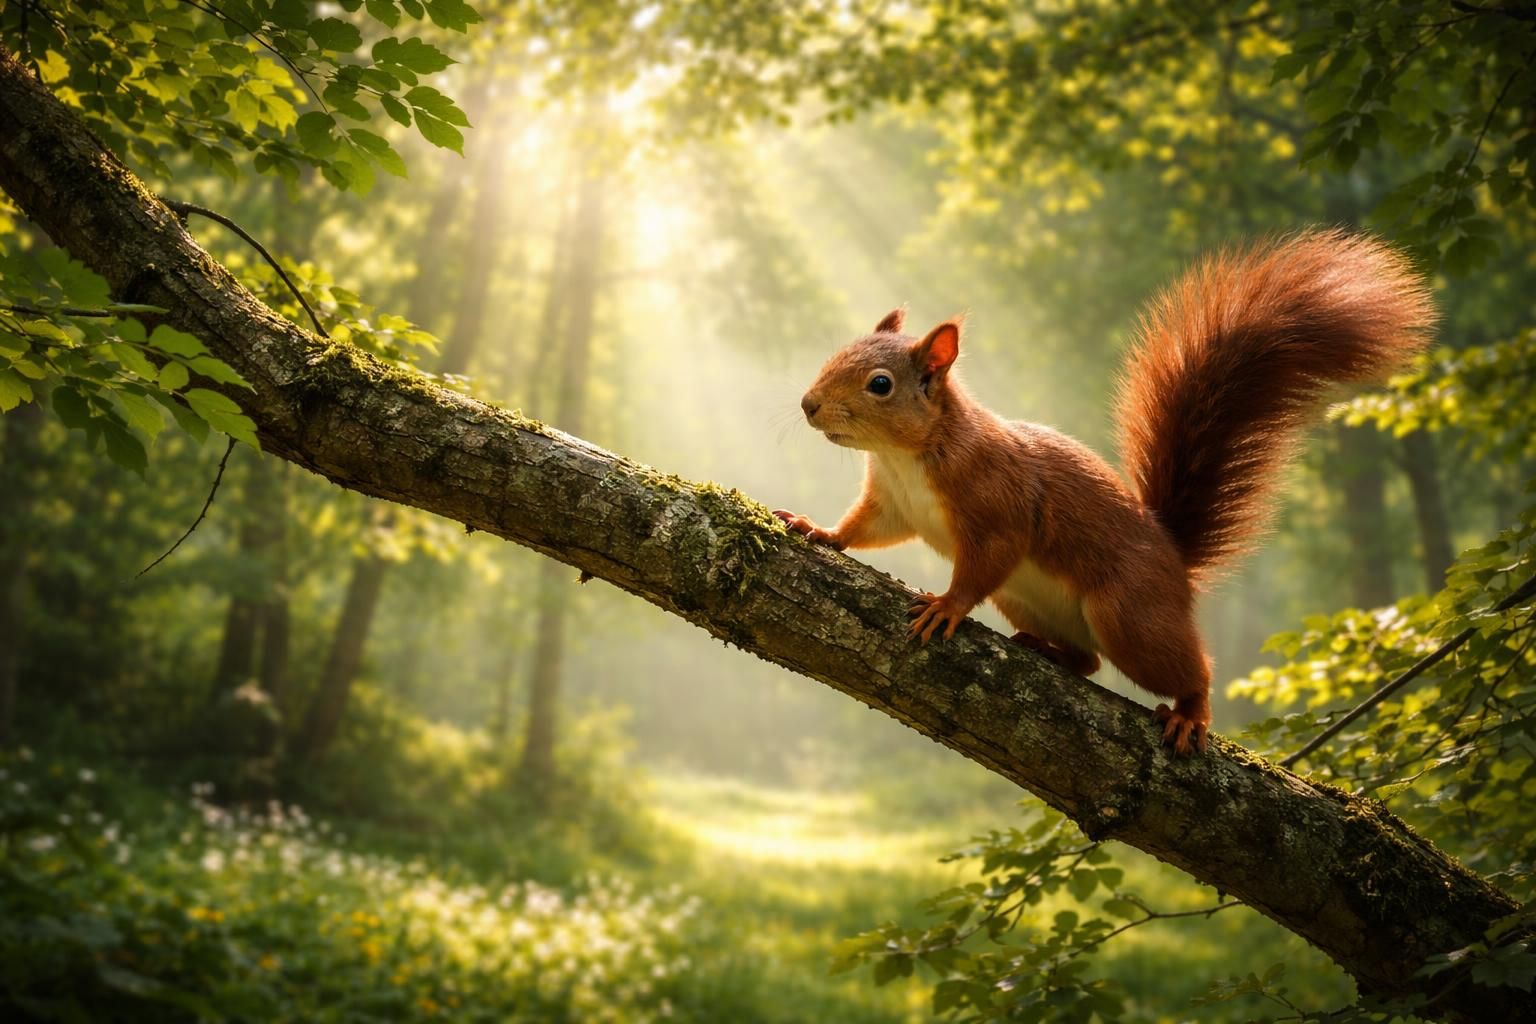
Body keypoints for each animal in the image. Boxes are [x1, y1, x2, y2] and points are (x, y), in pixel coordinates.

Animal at [773, 229, 1435, 755]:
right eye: (837, 353)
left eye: (880, 384)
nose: (807, 405)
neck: (906, 457)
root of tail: (1175, 562)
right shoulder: (892, 502)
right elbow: (864, 528)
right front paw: (818, 530)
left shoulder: (997, 503)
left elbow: (985, 559)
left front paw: (948, 606)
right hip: (1025, 598)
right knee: (1089, 661)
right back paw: (1050, 652)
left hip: (1129, 617)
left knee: (1189, 666)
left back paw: (1190, 712)